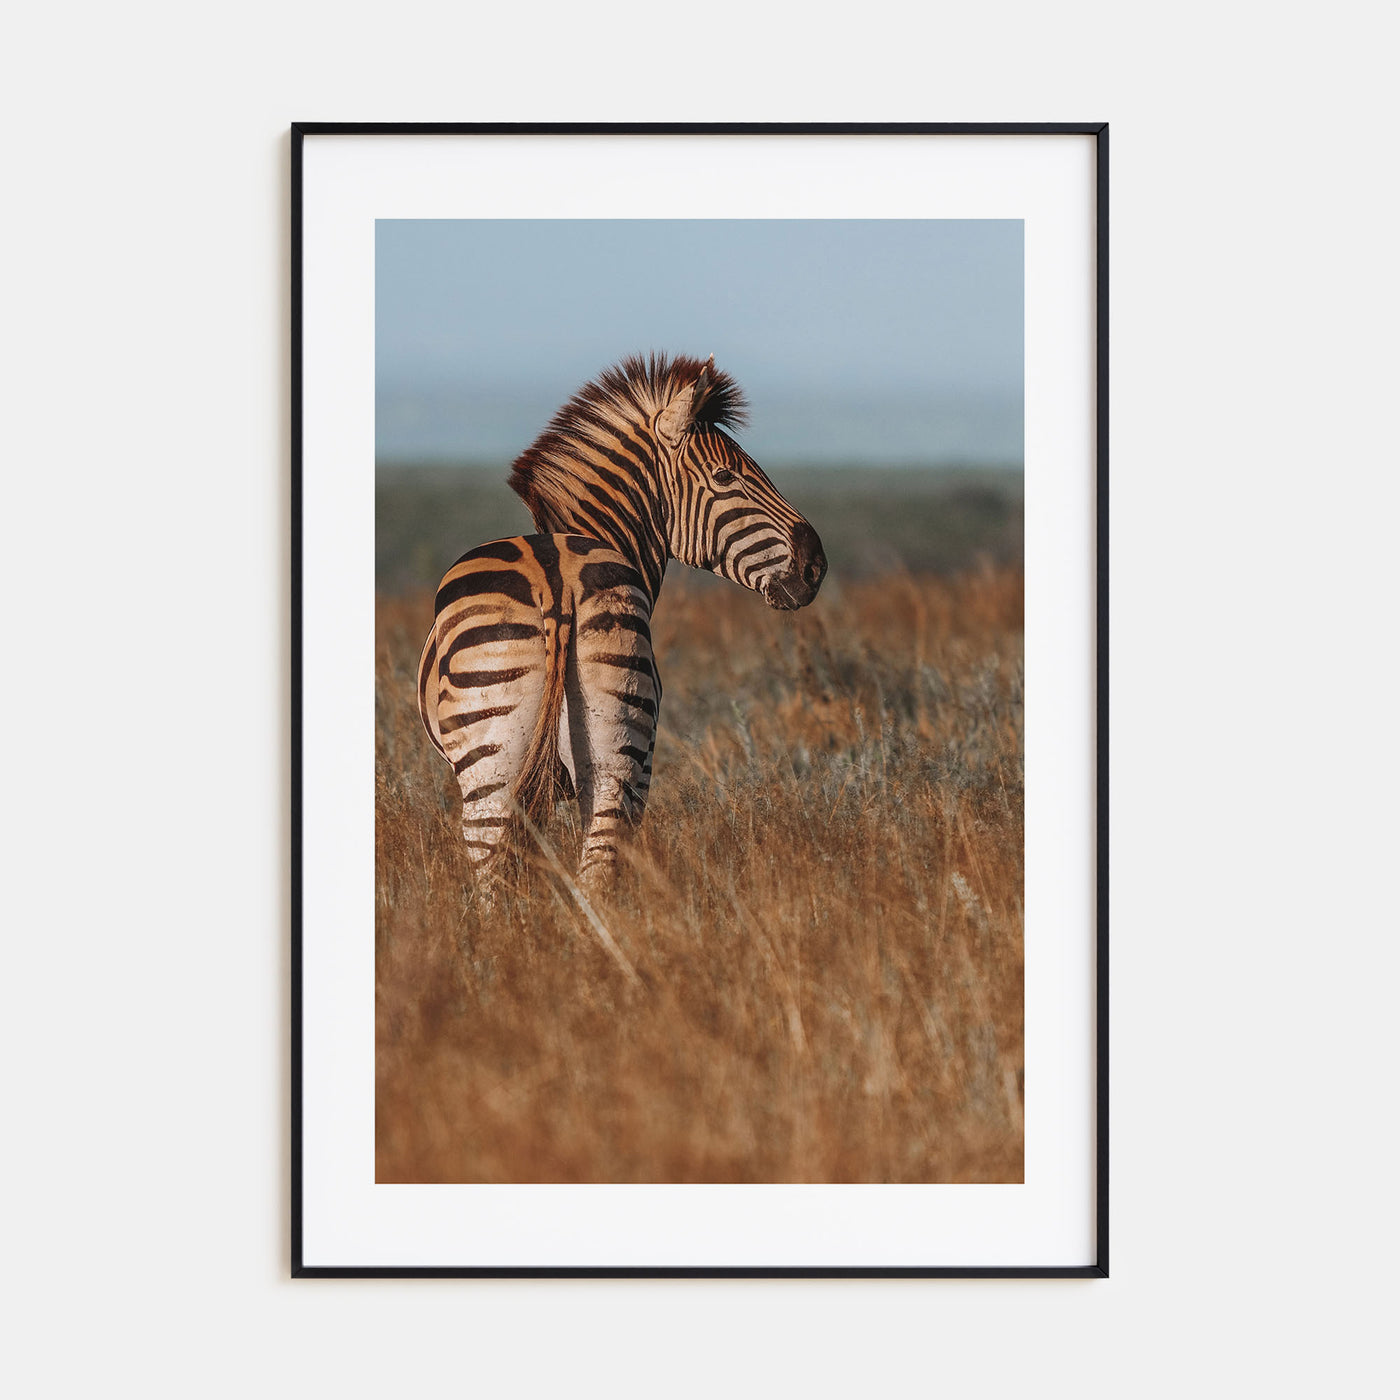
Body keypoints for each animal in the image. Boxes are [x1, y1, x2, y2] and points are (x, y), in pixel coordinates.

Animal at [418, 353, 827, 900]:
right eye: (725, 476)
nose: (815, 566)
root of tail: (557, 585)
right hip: (610, 755)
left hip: (515, 765)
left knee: (508, 877)